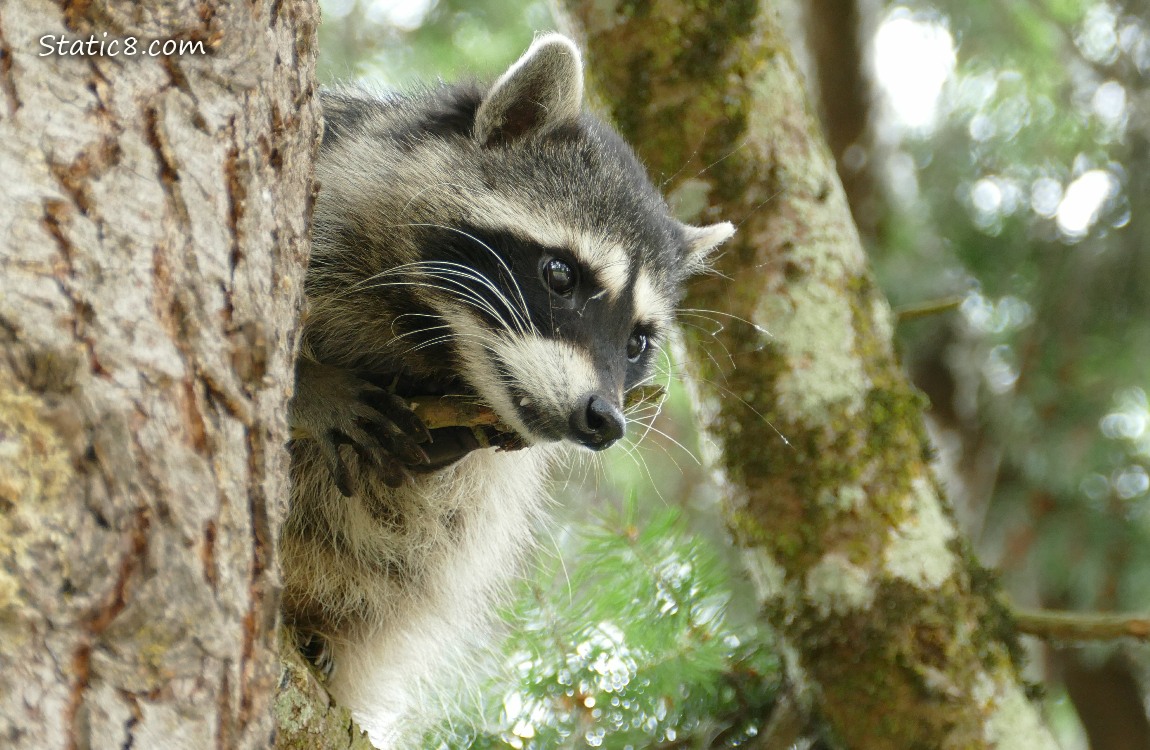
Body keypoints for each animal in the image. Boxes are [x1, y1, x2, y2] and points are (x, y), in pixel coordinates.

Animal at [282, 34, 734, 746]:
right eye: (560, 275)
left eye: (637, 343)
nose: (603, 419)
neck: (437, 338)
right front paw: (311, 387)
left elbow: (436, 510)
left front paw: (451, 447)